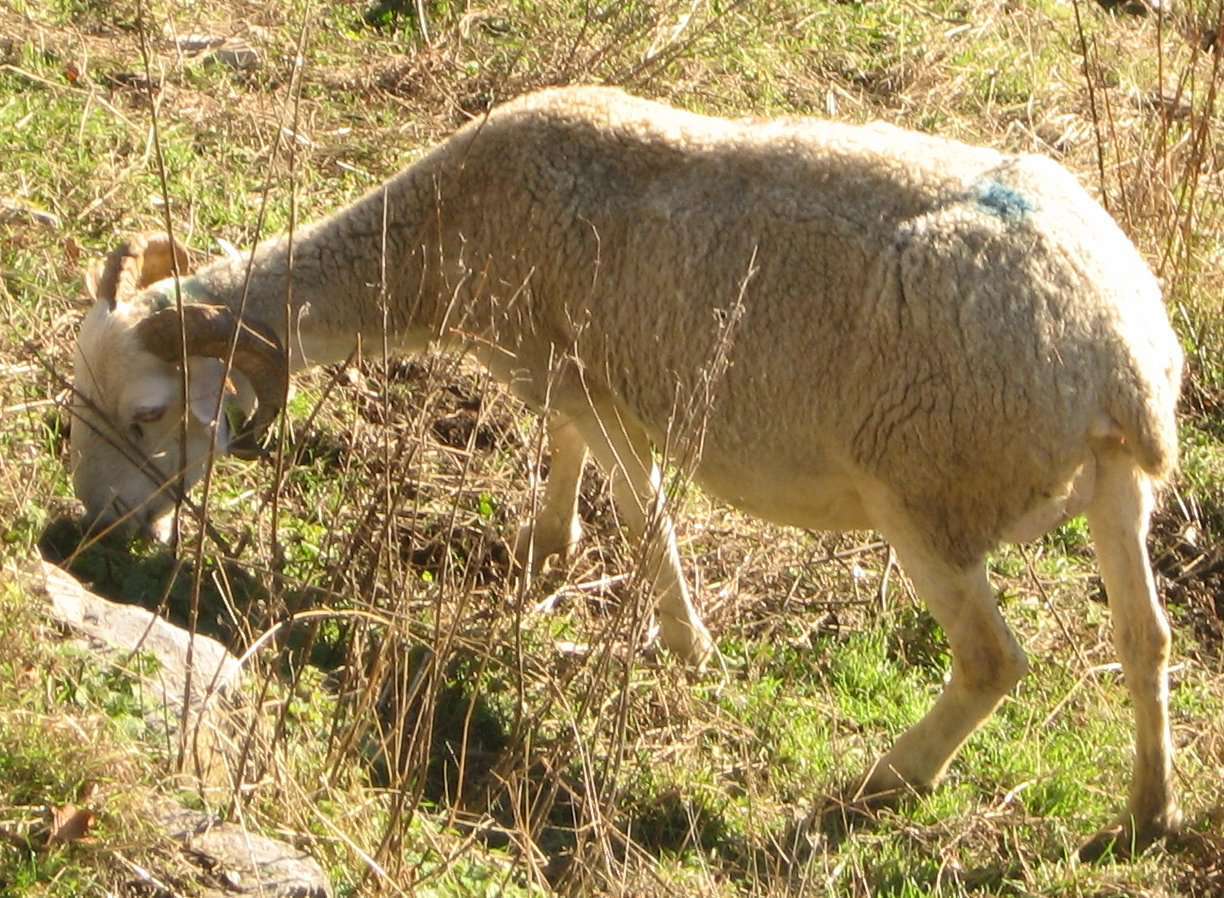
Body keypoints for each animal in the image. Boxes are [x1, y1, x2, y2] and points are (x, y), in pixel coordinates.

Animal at [69, 88, 1184, 856]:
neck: (441, 234)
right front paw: (544, 559)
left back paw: (880, 785)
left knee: (993, 661)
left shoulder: (602, 390)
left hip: (928, 493)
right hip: (1116, 491)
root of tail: (1122, 360)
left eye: (149, 413)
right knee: (1145, 639)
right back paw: (1146, 813)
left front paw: (687, 646)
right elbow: (565, 463)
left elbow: (642, 513)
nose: (91, 534)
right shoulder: (561, 378)